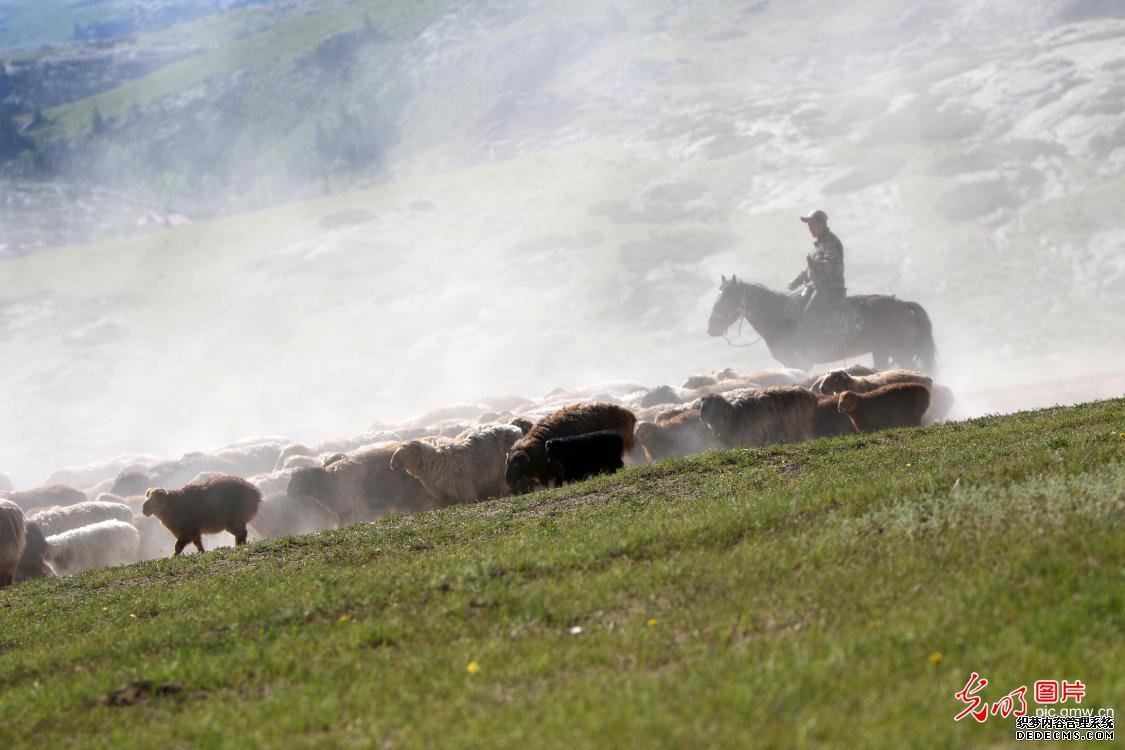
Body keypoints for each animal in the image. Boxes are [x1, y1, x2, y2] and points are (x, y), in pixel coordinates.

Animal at [391, 425, 522, 508]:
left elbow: (468, 498)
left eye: (402, 453)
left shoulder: (462, 487)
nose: (391, 465)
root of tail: (516, 429)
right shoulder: (440, 492)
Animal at [706, 274, 936, 373]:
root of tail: (904, 305)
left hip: (900, 352)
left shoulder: (800, 363)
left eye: (727, 298)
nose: (711, 328)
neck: (780, 318)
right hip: (882, 352)